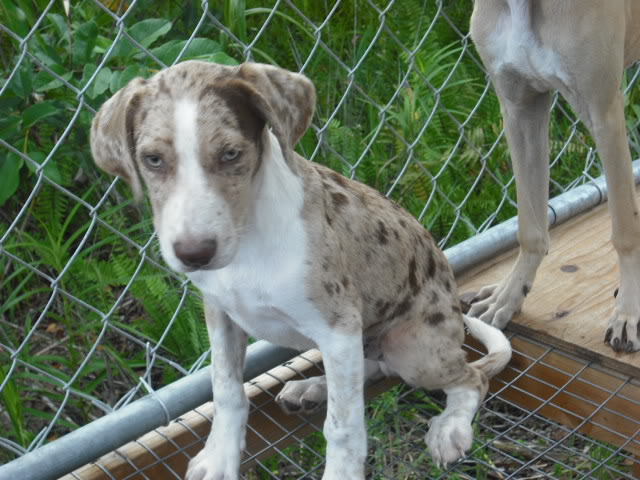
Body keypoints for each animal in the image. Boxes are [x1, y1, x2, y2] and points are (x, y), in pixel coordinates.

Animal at [91, 60, 510, 476]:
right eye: (152, 160)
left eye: (231, 153)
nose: (195, 254)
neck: (248, 240)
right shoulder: (220, 313)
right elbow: (226, 389)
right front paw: (219, 458)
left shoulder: (338, 327)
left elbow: (342, 426)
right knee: (372, 368)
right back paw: (314, 387)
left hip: (412, 347)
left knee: (470, 378)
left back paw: (450, 428)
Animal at [468, 0, 640, 352]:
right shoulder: (520, 107)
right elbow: (530, 228)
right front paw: (509, 293)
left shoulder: (603, 112)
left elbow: (625, 230)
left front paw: (628, 312)